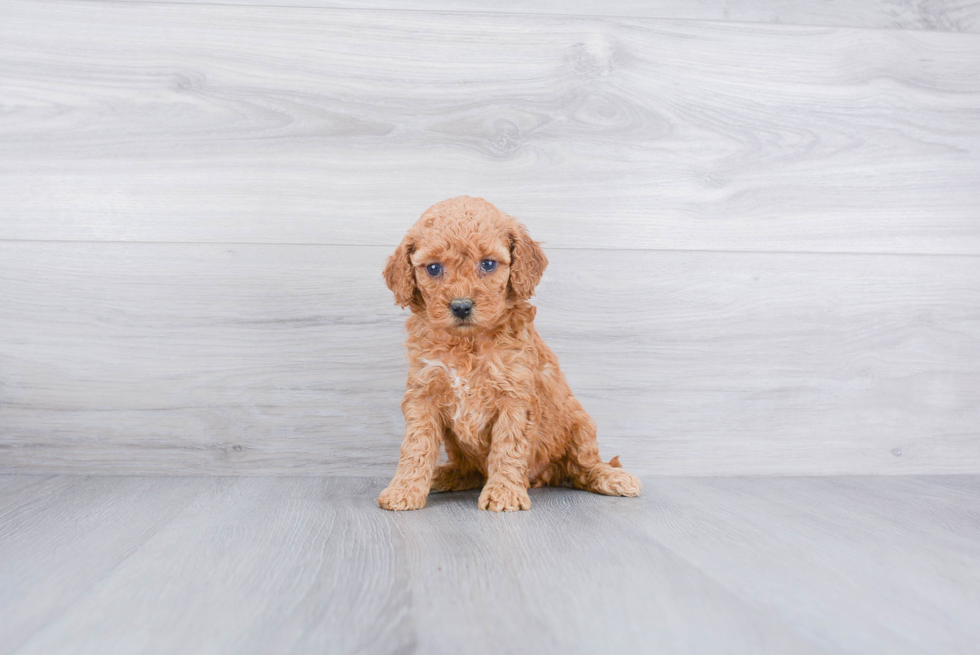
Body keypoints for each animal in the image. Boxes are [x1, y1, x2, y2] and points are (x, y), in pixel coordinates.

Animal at [378, 195, 644, 512]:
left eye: (488, 264)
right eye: (433, 268)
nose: (461, 306)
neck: (468, 342)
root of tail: (546, 476)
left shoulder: (515, 397)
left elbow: (508, 446)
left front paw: (504, 493)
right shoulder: (424, 394)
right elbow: (416, 446)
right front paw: (404, 489)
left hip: (579, 423)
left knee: (583, 466)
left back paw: (612, 477)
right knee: (468, 470)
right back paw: (440, 476)